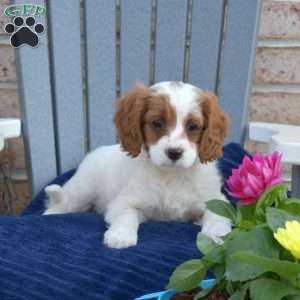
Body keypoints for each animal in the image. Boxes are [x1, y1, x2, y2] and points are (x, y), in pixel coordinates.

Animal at [44, 81, 231, 248]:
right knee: (61, 203)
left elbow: (216, 217)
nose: (174, 153)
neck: (171, 175)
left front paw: (216, 237)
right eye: (157, 123)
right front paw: (120, 236)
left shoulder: (216, 199)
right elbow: (127, 215)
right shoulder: (124, 202)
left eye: (192, 126)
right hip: (83, 189)